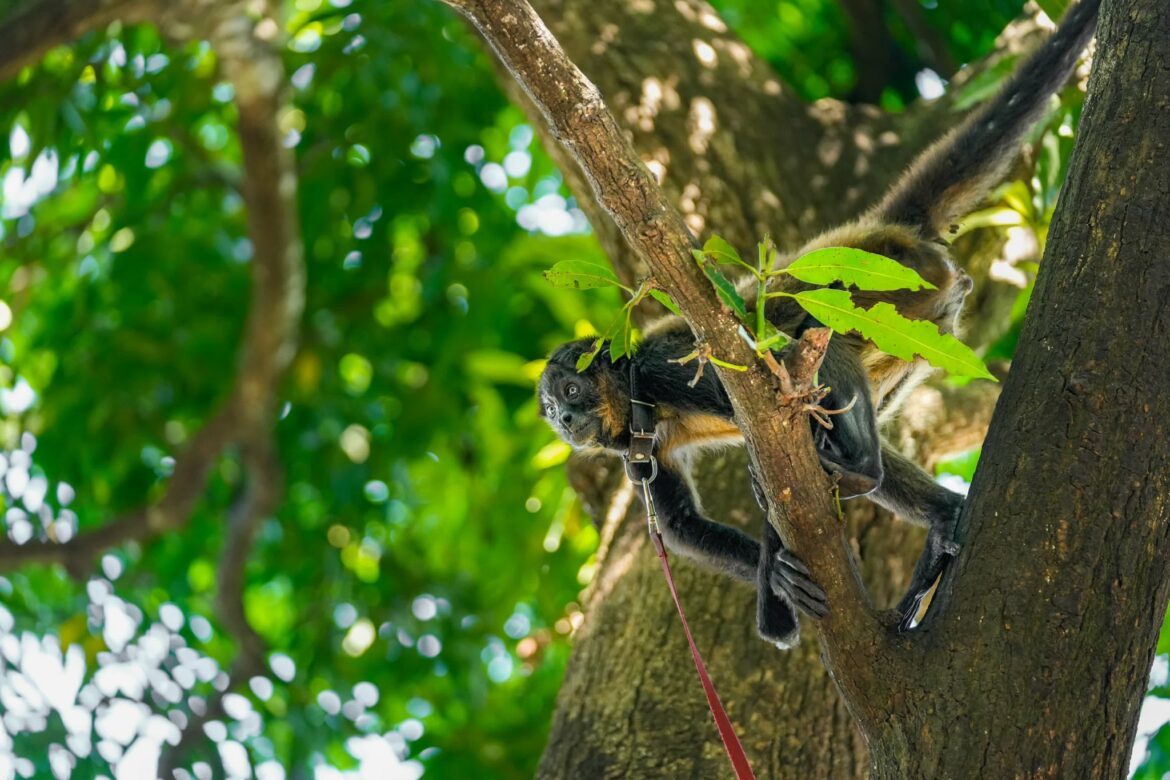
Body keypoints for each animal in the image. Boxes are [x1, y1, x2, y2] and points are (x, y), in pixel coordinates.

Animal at [538, 0, 1100, 648]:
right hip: (927, 326)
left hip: (888, 290)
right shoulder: (637, 443)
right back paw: (941, 519)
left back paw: (862, 472)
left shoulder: (661, 371)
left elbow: (767, 410)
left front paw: (778, 573)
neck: (633, 395)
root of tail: (883, 233)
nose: (568, 421)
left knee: (809, 350)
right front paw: (779, 575)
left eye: (572, 390)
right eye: (552, 410)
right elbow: (679, 522)